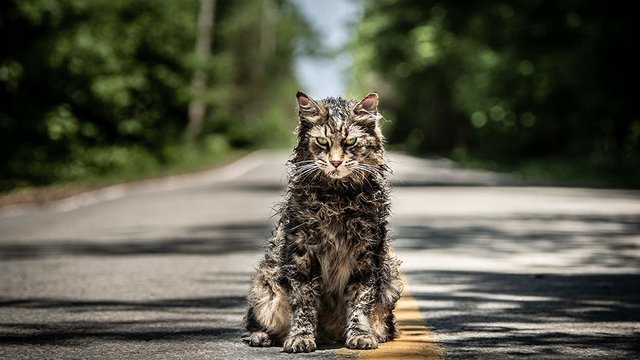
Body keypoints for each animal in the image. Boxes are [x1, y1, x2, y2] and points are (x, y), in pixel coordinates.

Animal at [242, 91, 402, 352]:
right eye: (322, 142)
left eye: (350, 142)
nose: (335, 162)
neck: (337, 198)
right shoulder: (302, 253)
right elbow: (304, 302)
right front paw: (300, 337)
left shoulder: (367, 254)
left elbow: (360, 300)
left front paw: (360, 335)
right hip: (265, 286)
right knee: (257, 322)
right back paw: (262, 336)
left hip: (391, 281)